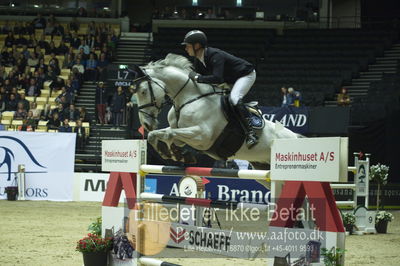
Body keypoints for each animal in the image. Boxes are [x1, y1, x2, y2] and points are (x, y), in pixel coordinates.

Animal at [132, 53, 296, 167]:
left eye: (143, 91)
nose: (145, 124)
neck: (189, 97)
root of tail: (296, 137)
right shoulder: (179, 131)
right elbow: (156, 135)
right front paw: (176, 154)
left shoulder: (202, 136)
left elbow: (169, 134)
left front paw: (177, 154)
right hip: (261, 165)